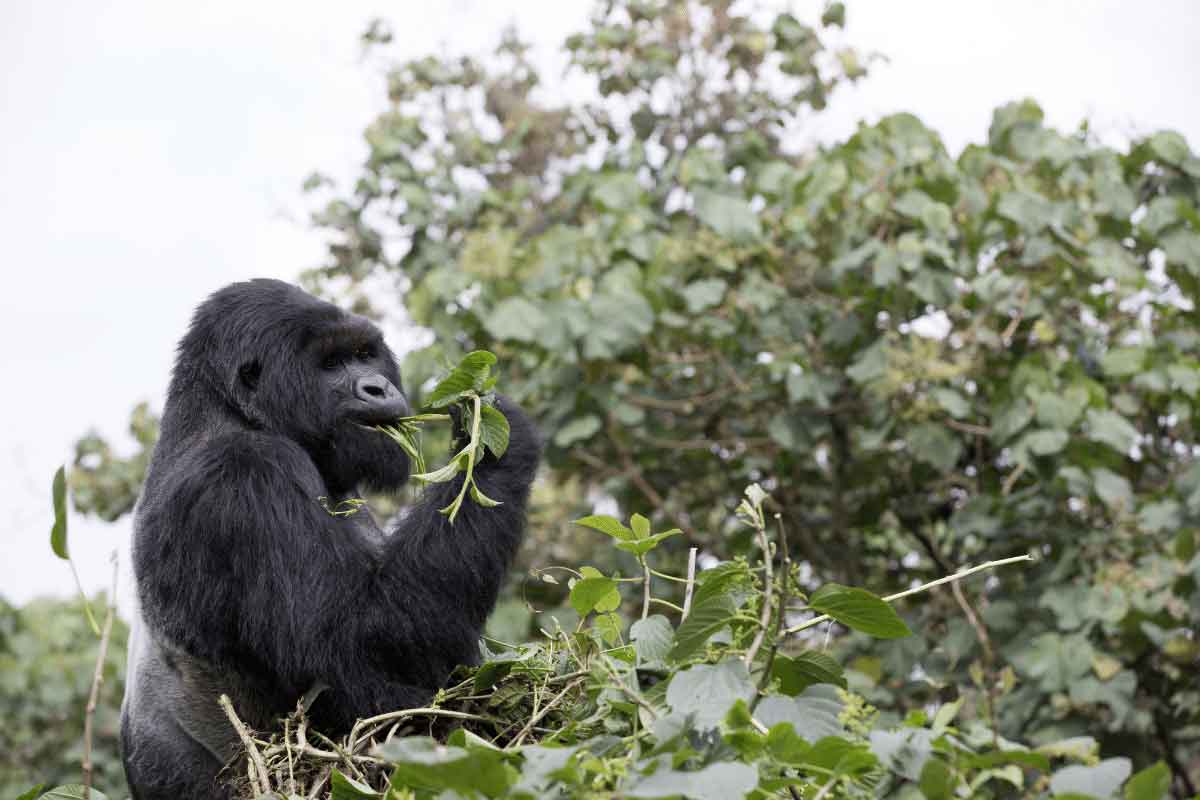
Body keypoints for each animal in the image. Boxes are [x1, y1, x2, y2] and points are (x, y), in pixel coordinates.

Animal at [119, 278, 542, 796]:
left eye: (364, 354)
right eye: (331, 364)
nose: (377, 387)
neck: (227, 411)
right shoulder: (245, 474)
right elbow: (364, 643)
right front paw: (494, 442)